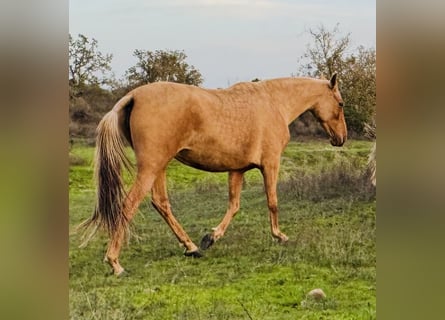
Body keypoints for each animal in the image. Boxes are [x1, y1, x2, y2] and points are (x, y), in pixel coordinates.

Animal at [80, 73, 346, 276]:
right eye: (341, 104)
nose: (341, 138)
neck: (274, 103)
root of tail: (133, 96)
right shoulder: (270, 164)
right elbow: (272, 202)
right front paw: (279, 235)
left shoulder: (237, 169)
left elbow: (234, 205)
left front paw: (211, 237)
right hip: (151, 168)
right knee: (129, 205)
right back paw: (115, 263)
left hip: (159, 167)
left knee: (161, 203)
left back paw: (192, 247)